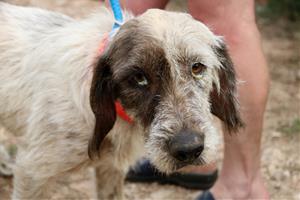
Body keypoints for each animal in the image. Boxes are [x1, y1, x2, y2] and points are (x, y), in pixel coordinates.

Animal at [0, 1, 244, 200]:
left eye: (197, 67)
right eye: (138, 78)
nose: (189, 149)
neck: (117, 111)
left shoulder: (110, 168)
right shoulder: (32, 172)